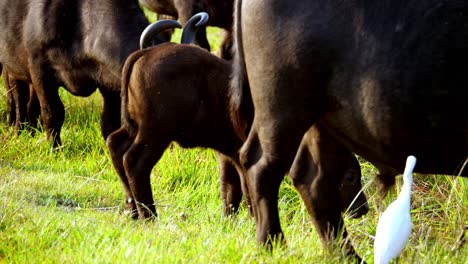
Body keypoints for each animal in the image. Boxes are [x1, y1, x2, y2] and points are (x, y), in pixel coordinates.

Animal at [0, 0, 177, 146]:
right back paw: (18, 131)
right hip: (12, 68)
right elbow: (53, 113)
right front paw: (54, 148)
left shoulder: (109, 82)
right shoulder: (40, 72)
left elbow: (109, 122)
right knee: (18, 99)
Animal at [232, 0, 468, 258]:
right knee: (261, 166)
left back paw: (346, 256)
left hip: (321, 123)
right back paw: (272, 245)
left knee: (313, 180)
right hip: (282, 109)